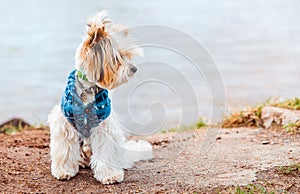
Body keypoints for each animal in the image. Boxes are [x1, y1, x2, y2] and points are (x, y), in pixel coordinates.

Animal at [48, 11, 154, 185]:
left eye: (127, 55)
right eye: (117, 58)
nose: (134, 69)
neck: (89, 87)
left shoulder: (104, 127)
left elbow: (106, 152)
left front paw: (110, 175)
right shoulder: (64, 124)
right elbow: (65, 151)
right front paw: (64, 171)